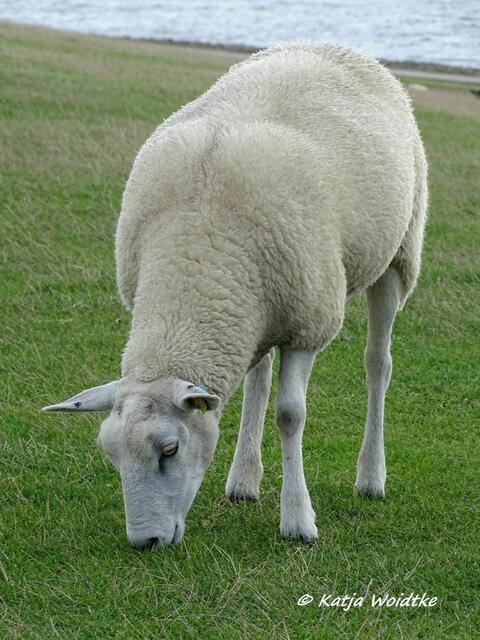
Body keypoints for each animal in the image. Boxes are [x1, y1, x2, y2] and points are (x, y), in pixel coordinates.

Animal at [43, 42, 428, 548]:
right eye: (111, 453)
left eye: (170, 449)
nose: (145, 542)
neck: (194, 258)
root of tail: (324, 44)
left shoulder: (309, 321)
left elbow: (290, 415)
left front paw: (298, 520)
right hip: (257, 306)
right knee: (257, 378)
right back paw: (244, 478)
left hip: (397, 255)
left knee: (377, 365)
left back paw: (370, 476)